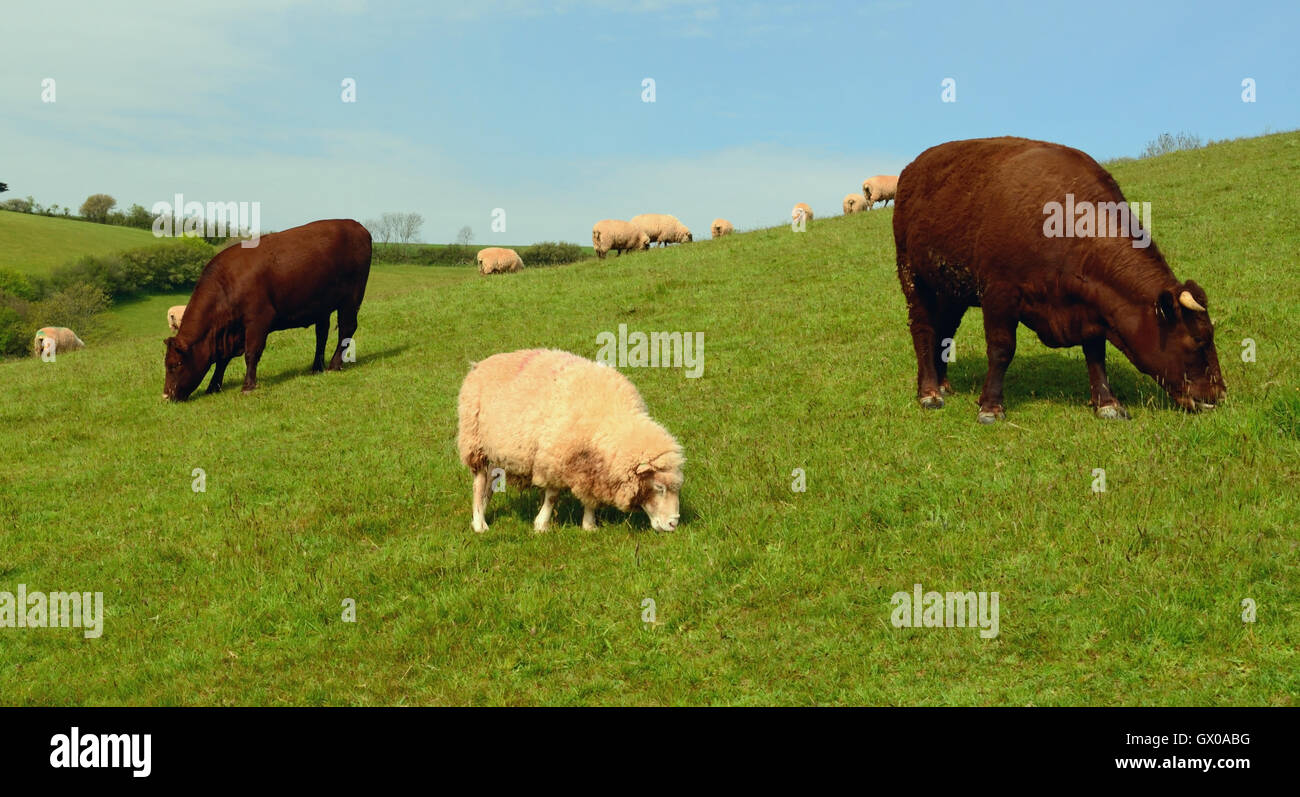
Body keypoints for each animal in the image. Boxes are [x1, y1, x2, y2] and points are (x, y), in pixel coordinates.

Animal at [163, 219, 371, 401]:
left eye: (176, 364)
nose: (166, 396)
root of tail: (357, 226)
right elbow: (222, 360)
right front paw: (213, 386)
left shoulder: (258, 320)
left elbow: (251, 354)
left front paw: (248, 386)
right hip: (322, 304)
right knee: (322, 334)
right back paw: (316, 367)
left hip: (351, 298)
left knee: (346, 329)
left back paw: (334, 365)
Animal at [457, 348, 685, 534]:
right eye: (659, 487)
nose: (674, 523)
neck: (610, 418)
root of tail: (480, 364)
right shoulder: (555, 457)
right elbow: (552, 496)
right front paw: (541, 525)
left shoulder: (590, 466)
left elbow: (590, 497)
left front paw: (589, 525)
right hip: (475, 443)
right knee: (478, 484)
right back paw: (480, 524)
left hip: (495, 451)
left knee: (489, 485)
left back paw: (482, 513)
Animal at [893, 136, 1225, 423]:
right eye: (1198, 340)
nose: (1219, 394)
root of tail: (913, 167)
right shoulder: (999, 293)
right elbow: (1001, 349)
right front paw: (990, 407)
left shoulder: (1090, 304)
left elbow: (1095, 352)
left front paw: (1107, 403)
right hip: (913, 277)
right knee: (923, 330)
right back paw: (930, 392)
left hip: (950, 289)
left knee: (944, 330)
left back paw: (943, 383)